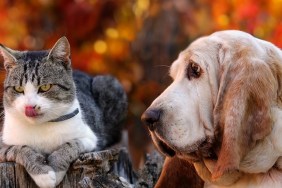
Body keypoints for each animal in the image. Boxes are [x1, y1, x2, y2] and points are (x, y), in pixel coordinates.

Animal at [0, 36, 126, 187]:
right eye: (18, 89)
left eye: (45, 87)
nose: (29, 107)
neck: (41, 126)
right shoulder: (3, 146)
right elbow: (20, 149)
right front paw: (43, 175)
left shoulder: (90, 139)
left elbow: (70, 145)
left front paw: (56, 169)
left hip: (107, 83)